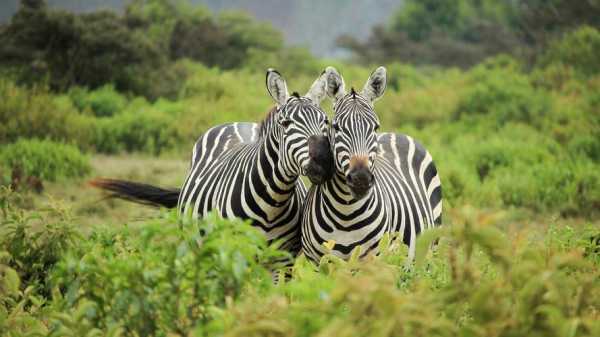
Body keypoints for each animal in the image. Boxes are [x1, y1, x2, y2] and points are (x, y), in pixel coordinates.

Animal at [94, 67, 338, 255]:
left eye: (325, 121)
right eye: (286, 124)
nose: (324, 163)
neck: (273, 202)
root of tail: (237, 122)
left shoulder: (283, 259)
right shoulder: (234, 252)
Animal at [300, 66, 440, 262]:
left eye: (375, 127)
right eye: (336, 127)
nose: (361, 179)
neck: (346, 213)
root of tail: (396, 134)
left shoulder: (372, 260)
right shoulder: (317, 261)